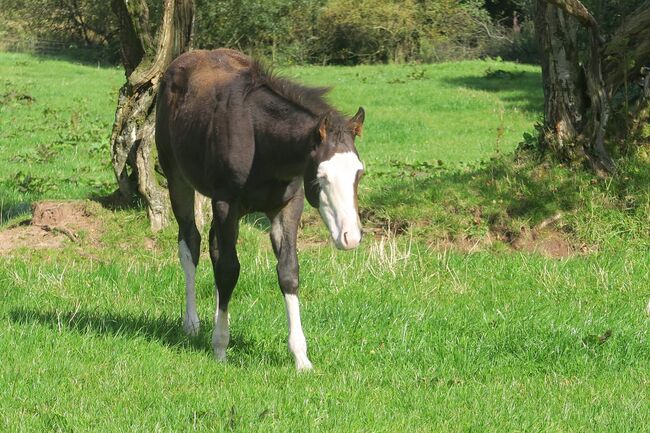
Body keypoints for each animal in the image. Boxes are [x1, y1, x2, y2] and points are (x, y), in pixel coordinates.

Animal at [154, 49, 362, 368]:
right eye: (321, 176)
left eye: (359, 173)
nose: (350, 238)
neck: (261, 140)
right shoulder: (226, 202)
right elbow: (229, 269)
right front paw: (220, 348)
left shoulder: (288, 206)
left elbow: (288, 271)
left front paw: (301, 357)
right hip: (177, 177)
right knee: (191, 242)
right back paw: (192, 324)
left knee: (214, 246)